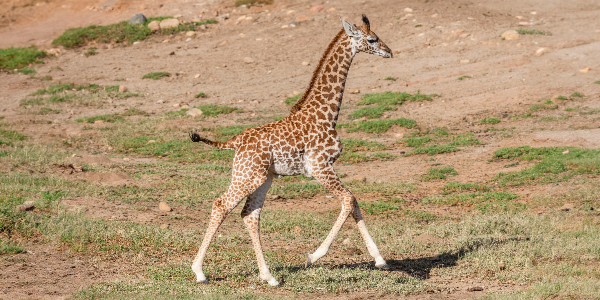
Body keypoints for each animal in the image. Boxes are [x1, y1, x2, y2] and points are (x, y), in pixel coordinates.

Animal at [189, 14, 394, 286]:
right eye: (372, 39)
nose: (389, 51)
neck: (327, 114)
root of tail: (234, 141)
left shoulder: (324, 168)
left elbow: (353, 201)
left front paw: (380, 259)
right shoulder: (320, 166)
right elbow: (348, 200)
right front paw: (313, 256)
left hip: (263, 178)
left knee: (249, 214)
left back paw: (268, 276)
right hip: (248, 176)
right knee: (221, 204)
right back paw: (199, 271)